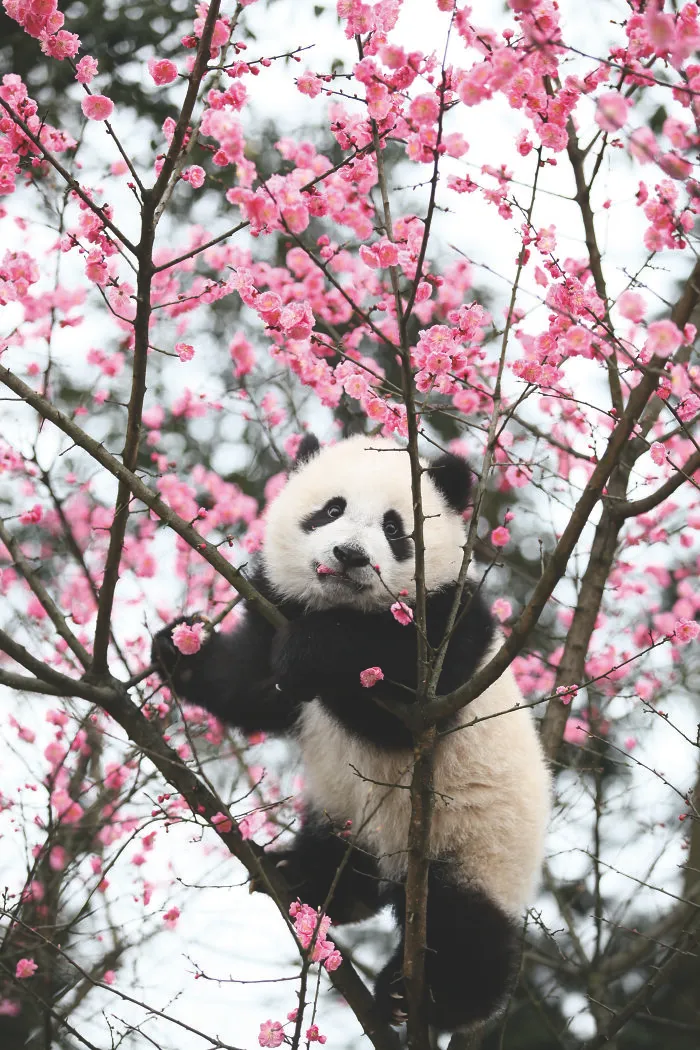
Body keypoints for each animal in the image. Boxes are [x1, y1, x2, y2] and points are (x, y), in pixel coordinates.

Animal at [152, 433, 551, 1033]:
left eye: (395, 527)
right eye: (331, 510)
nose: (351, 556)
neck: (342, 605)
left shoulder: (446, 641)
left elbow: (393, 701)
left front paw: (313, 650)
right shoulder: (278, 607)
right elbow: (254, 684)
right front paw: (182, 649)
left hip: (478, 846)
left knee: (465, 932)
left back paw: (418, 996)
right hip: (346, 814)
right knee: (341, 855)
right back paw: (304, 878)